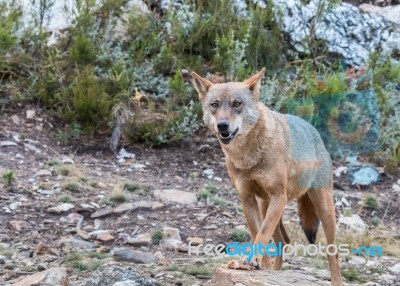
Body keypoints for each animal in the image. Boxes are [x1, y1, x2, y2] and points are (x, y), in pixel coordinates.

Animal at [192, 68, 342, 284]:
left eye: (237, 104)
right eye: (214, 105)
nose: (222, 125)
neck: (247, 156)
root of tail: (316, 133)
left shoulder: (278, 196)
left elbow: (262, 234)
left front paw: (253, 261)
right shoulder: (247, 198)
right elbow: (257, 233)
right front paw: (255, 264)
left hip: (322, 208)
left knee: (333, 251)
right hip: (267, 205)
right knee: (283, 241)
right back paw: (272, 271)